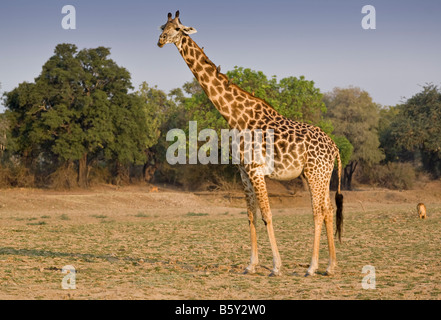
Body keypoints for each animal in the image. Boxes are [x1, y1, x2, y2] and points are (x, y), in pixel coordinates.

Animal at [158, 11, 344, 276]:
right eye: (162, 27)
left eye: (177, 28)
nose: (160, 40)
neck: (236, 116)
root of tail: (335, 147)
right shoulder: (243, 172)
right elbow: (251, 216)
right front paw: (251, 265)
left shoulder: (256, 170)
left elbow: (267, 214)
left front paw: (276, 267)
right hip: (320, 175)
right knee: (328, 210)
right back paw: (330, 266)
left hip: (315, 173)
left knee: (318, 212)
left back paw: (311, 267)